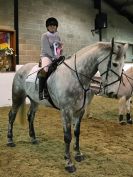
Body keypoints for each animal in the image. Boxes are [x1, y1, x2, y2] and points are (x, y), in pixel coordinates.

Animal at [6, 39, 127, 173]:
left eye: (123, 65)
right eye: (115, 64)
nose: (113, 93)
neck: (76, 76)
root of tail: (22, 68)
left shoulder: (80, 111)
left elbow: (77, 132)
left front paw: (78, 154)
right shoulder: (66, 111)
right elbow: (67, 136)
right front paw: (69, 163)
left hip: (34, 101)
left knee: (30, 116)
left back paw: (33, 138)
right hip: (17, 97)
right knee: (12, 115)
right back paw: (10, 141)